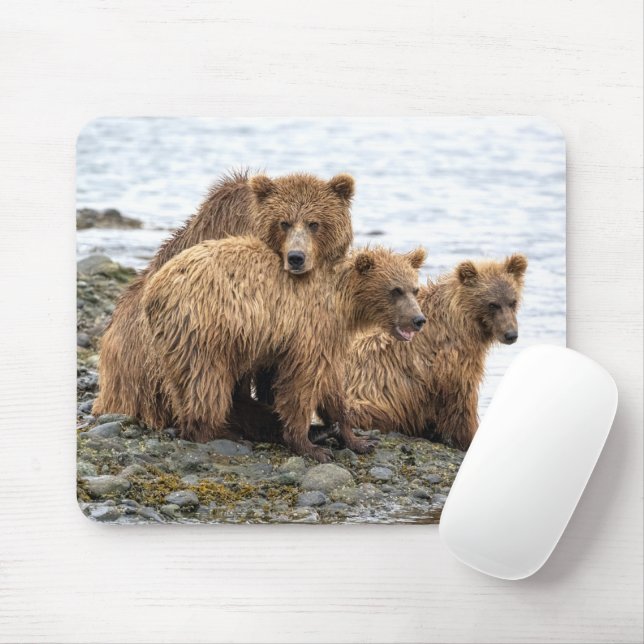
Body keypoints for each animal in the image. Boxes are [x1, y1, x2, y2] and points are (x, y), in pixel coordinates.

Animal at [140, 238, 427, 462]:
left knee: (185, 383)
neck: (344, 303)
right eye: (395, 290)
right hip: (205, 329)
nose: (418, 319)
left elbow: (333, 386)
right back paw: (219, 432)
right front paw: (310, 447)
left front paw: (357, 440)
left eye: (414, 288)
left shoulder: (331, 339)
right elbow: (301, 383)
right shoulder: (309, 329)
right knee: (206, 382)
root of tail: (153, 289)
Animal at [341, 253, 528, 451]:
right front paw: (470, 437)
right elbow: (461, 401)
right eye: (492, 304)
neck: (462, 321)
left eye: (512, 301)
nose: (511, 334)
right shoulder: (451, 360)